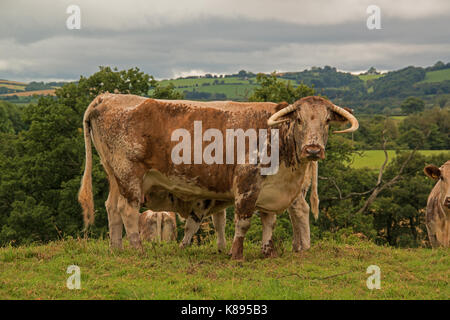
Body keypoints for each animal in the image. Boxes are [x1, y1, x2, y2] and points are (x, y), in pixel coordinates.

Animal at [78, 92, 358, 260]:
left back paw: (116, 249)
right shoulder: (247, 183)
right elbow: (243, 222)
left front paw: (267, 251)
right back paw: (138, 249)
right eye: (298, 120)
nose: (313, 149)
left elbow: (269, 221)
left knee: (112, 207)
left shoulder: (269, 190)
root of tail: (108, 96)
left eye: (327, 121)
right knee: (127, 210)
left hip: (114, 175)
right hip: (129, 174)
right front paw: (236, 254)